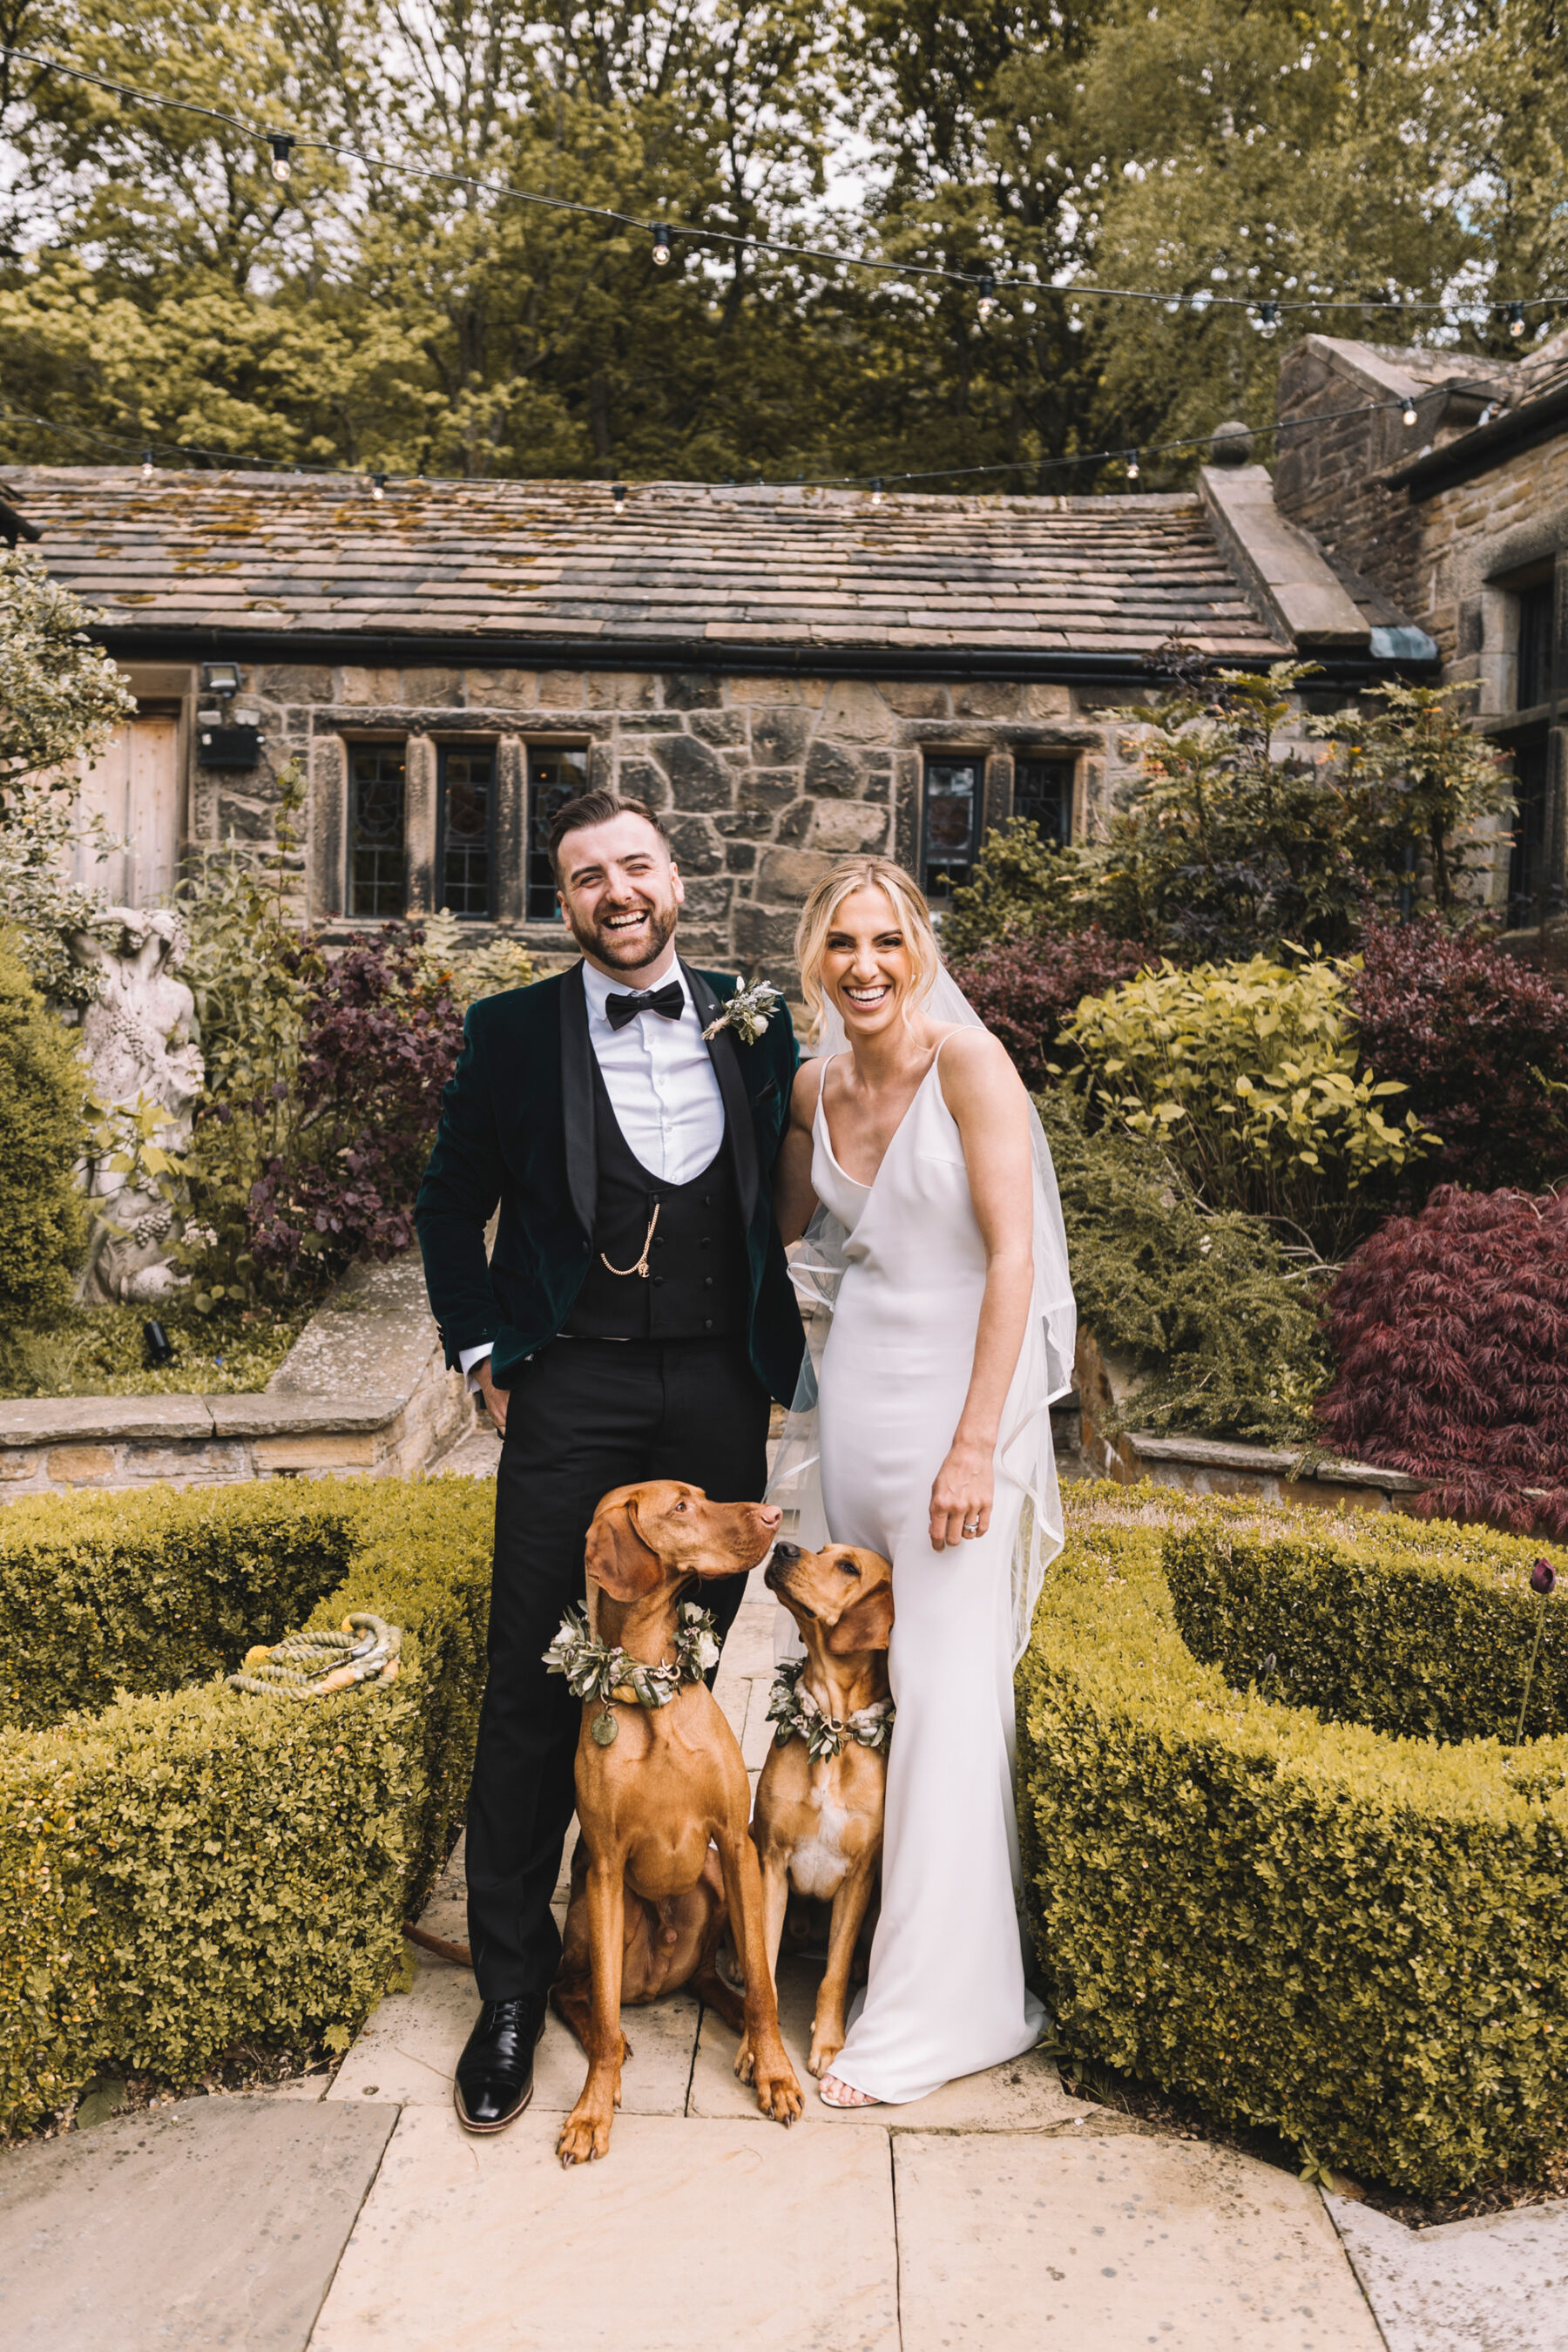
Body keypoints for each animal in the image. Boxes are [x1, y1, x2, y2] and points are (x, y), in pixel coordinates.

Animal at [552, 1477, 803, 2154]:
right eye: (682, 1507)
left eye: (703, 1493)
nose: (773, 1515)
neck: (648, 1686)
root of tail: (660, 1979)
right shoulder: (605, 1868)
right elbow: (604, 2012)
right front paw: (591, 2111)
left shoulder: (737, 1844)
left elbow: (764, 1984)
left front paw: (774, 2071)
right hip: (596, 1912)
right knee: (573, 1992)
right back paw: (605, 2049)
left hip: (713, 1876)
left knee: (717, 1979)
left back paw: (737, 2020)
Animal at [747, 1543, 893, 2078]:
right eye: (824, 1550)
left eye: (849, 1566)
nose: (783, 1547)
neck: (832, 1726)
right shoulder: (770, 1861)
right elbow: (764, 1967)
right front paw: (756, 2051)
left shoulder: (859, 1876)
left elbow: (833, 1972)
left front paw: (829, 2042)